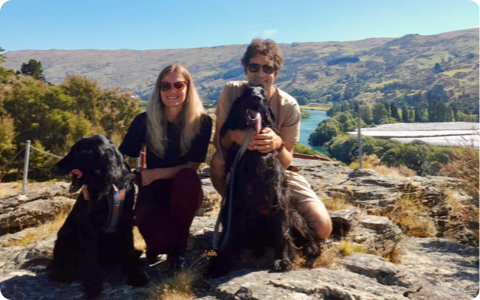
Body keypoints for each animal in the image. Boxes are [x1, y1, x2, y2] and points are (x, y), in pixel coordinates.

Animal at [211, 84, 320, 276]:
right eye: (247, 91)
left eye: (262, 93)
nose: (257, 97)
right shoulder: (234, 200)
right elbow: (229, 235)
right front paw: (221, 263)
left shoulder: (279, 199)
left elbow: (283, 233)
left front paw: (282, 260)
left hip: (295, 215)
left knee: (306, 232)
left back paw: (311, 248)